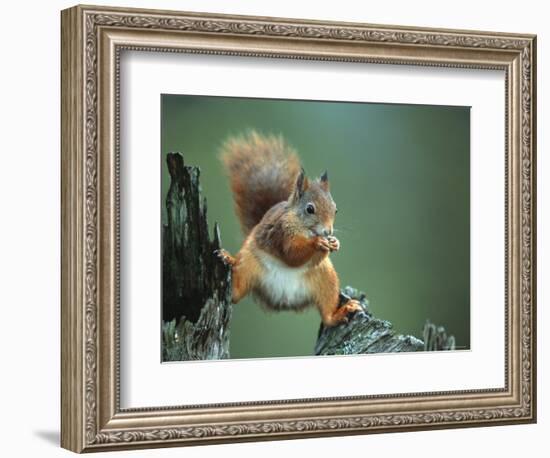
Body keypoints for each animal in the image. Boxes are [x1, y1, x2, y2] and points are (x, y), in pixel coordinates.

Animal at [218, 131, 364, 328]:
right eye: (310, 209)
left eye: (335, 210)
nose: (328, 232)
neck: (303, 227)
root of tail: (283, 300)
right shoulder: (281, 233)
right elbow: (291, 254)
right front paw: (318, 242)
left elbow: (311, 259)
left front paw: (334, 243)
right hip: (247, 265)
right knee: (235, 293)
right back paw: (227, 258)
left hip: (326, 278)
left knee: (327, 315)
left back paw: (342, 312)